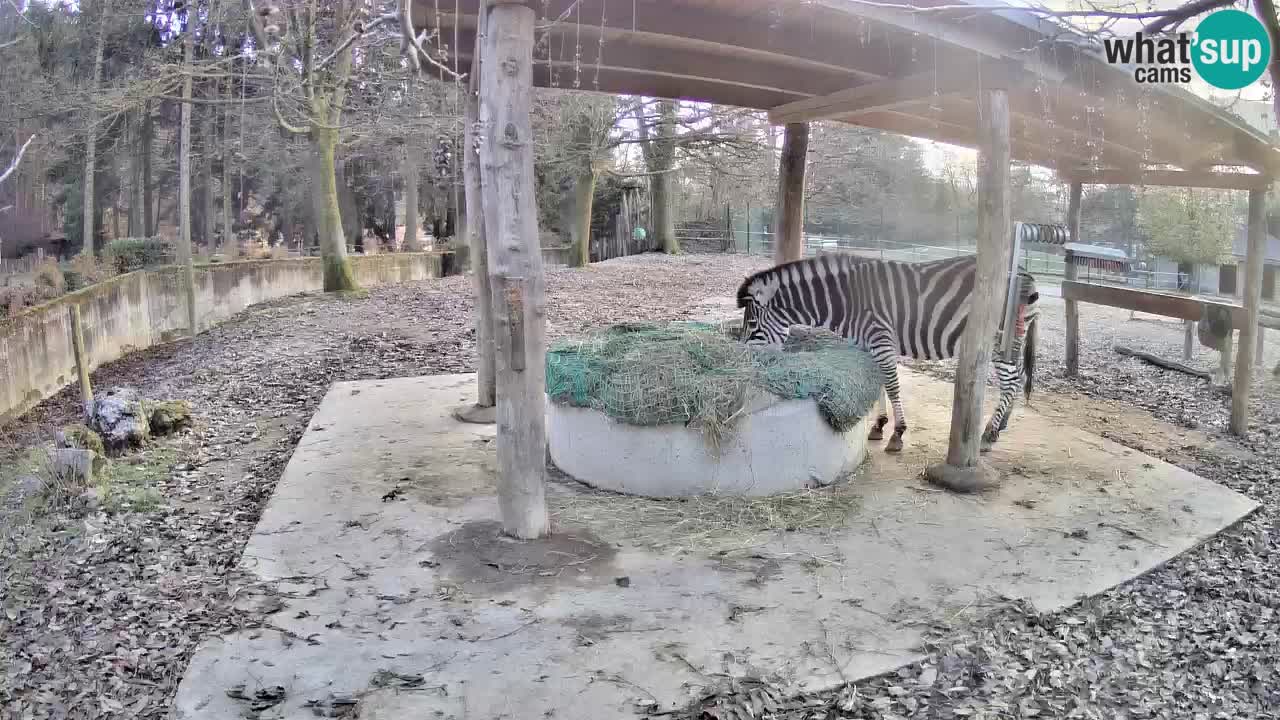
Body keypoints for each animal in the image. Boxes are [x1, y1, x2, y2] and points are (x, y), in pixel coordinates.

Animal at [742, 252, 1039, 450]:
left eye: (753, 325)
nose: (745, 358)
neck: (846, 300)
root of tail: (1024, 270)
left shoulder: (881, 339)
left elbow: (893, 385)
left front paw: (898, 433)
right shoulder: (868, 344)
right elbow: (881, 383)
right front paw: (879, 424)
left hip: (999, 340)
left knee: (1011, 382)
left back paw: (988, 434)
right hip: (1012, 342)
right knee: (1016, 380)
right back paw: (1000, 426)